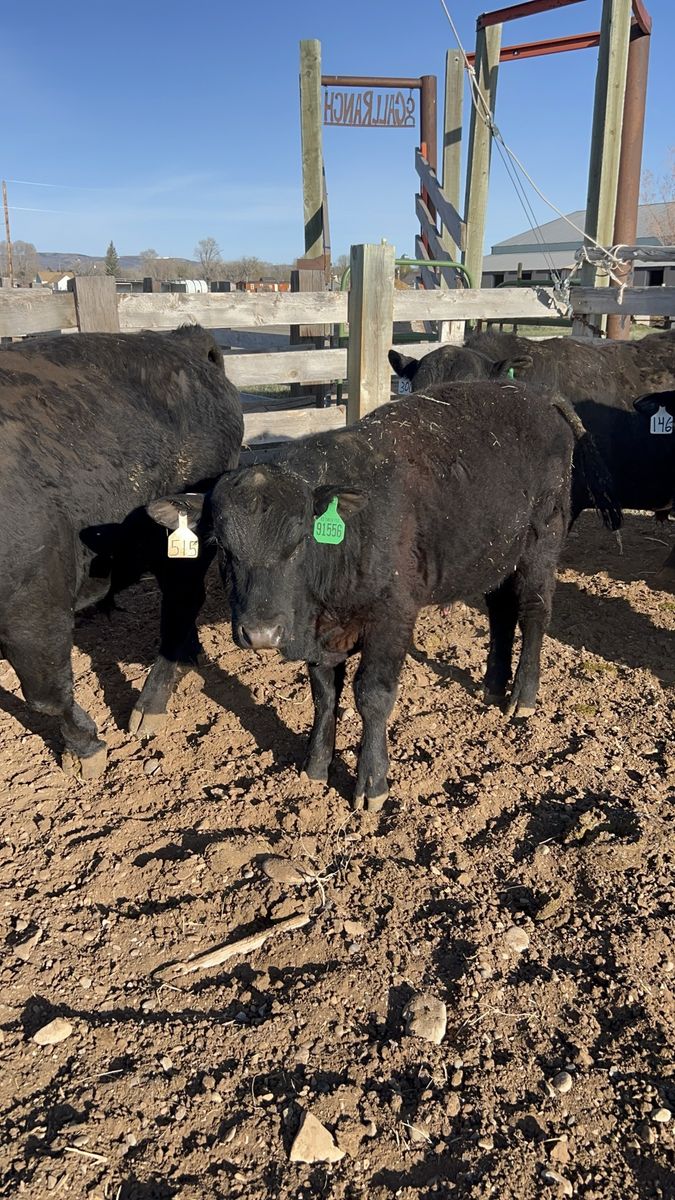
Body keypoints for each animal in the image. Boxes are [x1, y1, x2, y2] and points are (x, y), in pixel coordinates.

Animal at [0, 325, 243, 777]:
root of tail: (183, 341)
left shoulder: (34, 607)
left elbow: (46, 694)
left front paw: (85, 748)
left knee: (182, 602)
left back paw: (150, 706)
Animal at [148, 381, 618, 812]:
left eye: (300, 541)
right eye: (221, 547)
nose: (261, 633)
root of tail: (535, 394)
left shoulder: (393, 618)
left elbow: (372, 696)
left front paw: (371, 783)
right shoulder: (324, 635)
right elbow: (324, 694)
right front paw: (316, 766)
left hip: (541, 546)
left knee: (534, 613)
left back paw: (522, 696)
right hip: (494, 557)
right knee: (501, 613)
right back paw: (492, 686)